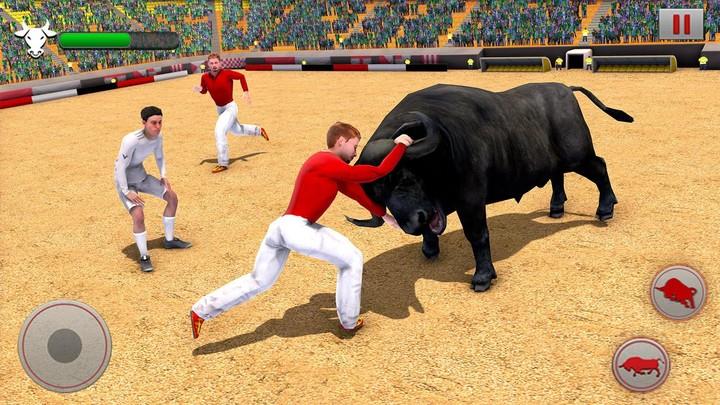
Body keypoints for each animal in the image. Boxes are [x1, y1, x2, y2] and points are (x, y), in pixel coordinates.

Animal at [347, 83, 633, 292]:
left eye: (405, 177)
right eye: (377, 195)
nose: (413, 222)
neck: (442, 148)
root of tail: (565, 88)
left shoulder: (471, 200)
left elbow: (477, 235)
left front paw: (483, 277)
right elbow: (432, 232)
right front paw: (429, 250)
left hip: (579, 154)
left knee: (600, 167)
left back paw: (605, 210)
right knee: (558, 175)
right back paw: (556, 209)